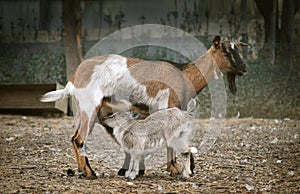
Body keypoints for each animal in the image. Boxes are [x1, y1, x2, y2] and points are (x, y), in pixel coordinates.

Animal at [41, 35, 248, 178]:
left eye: (238, 50)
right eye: (225, 51)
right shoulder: (166, 107)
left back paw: (82, 170)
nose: (243, 68)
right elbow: (169, 142)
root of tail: (73, 79)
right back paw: (91, 173)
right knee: (79, 139)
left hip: (89, 111)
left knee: (75, 137)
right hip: (90, 107)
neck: (184, 74)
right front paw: (174, 169)